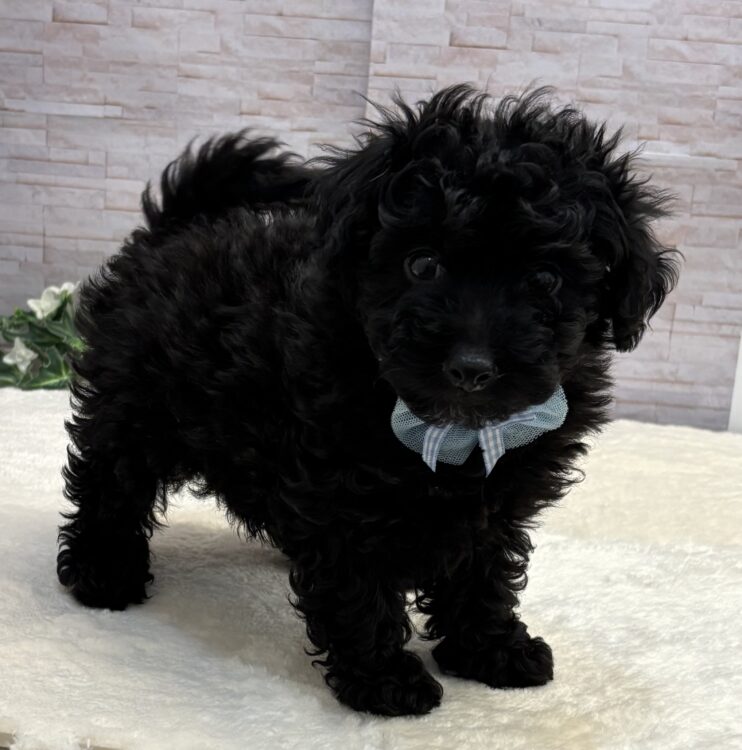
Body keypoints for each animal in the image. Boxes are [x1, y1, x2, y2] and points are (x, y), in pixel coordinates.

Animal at [57, 85, 679, 716]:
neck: (452, 433)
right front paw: (386, 681)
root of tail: (176, 232)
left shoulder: (493, 503)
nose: (471, 367)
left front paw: (492, 651)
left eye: (546, 280)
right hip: (135, 404)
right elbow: (358, 585)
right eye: (422, 263)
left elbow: (482, 572)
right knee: (112, 480)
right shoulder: (340, 495)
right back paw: (101, 571)